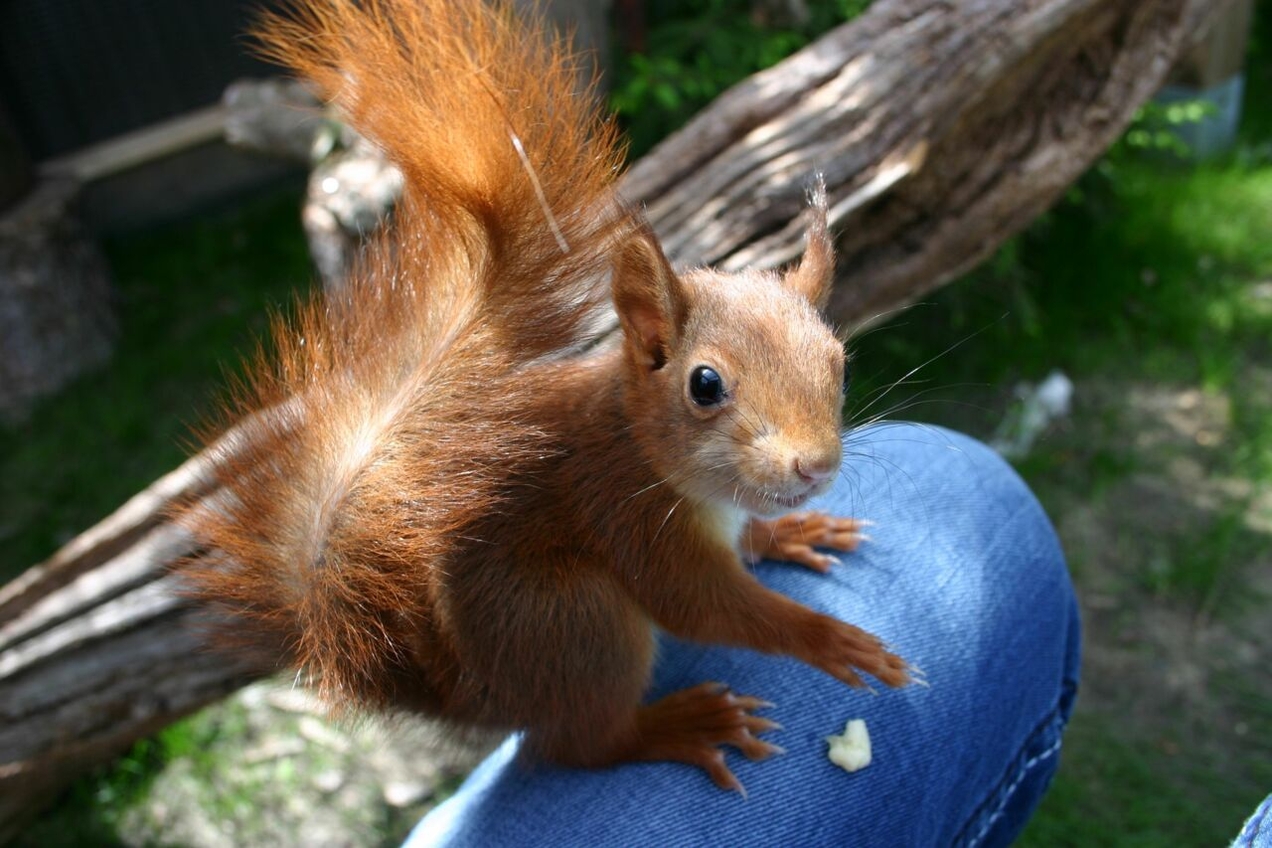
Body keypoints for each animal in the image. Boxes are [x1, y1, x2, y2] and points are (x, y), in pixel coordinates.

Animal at [180, 0, 911, 794]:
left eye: (840, 365)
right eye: (705, 385)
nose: (815, 467)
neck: (648, 451)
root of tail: (480, 695)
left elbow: (748, 539)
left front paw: (792, 532)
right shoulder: (626, 513)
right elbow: (702, 608)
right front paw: (832, 640)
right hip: (571, 618)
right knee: (586, 742)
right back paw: (679, 725)